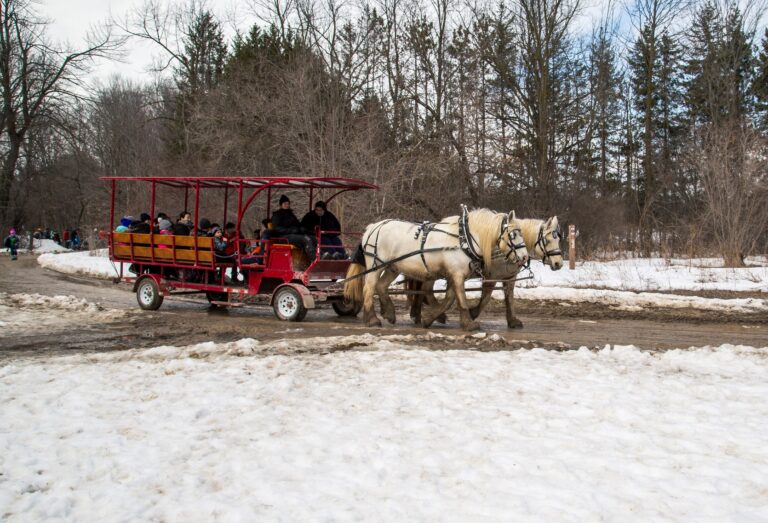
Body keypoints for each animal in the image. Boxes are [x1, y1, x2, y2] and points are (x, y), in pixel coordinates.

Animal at [344, 209, 529, 331]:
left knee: (381, 286)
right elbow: (460, 299)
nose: (525, 257)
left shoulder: (455, 274)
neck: (464, 239)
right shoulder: (457, 274)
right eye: (513, 235)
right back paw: (372, 319)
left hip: (393, 267)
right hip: (376, 265)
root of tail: (373, 227)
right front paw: (469, 323)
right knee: (369, 288)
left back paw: (389, 313)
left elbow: (450, 299)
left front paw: (429, 318)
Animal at [409, 216, 564, 328]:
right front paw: (472, 314)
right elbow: (486, 299)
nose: (559, 263)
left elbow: (509, 298)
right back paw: (435, 315)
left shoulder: (509, 277)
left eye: (558, 239)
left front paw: (512, 321)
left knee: (422, 291)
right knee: (426, 291)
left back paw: (418, 315)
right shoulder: (491, 276)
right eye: (547, 240)